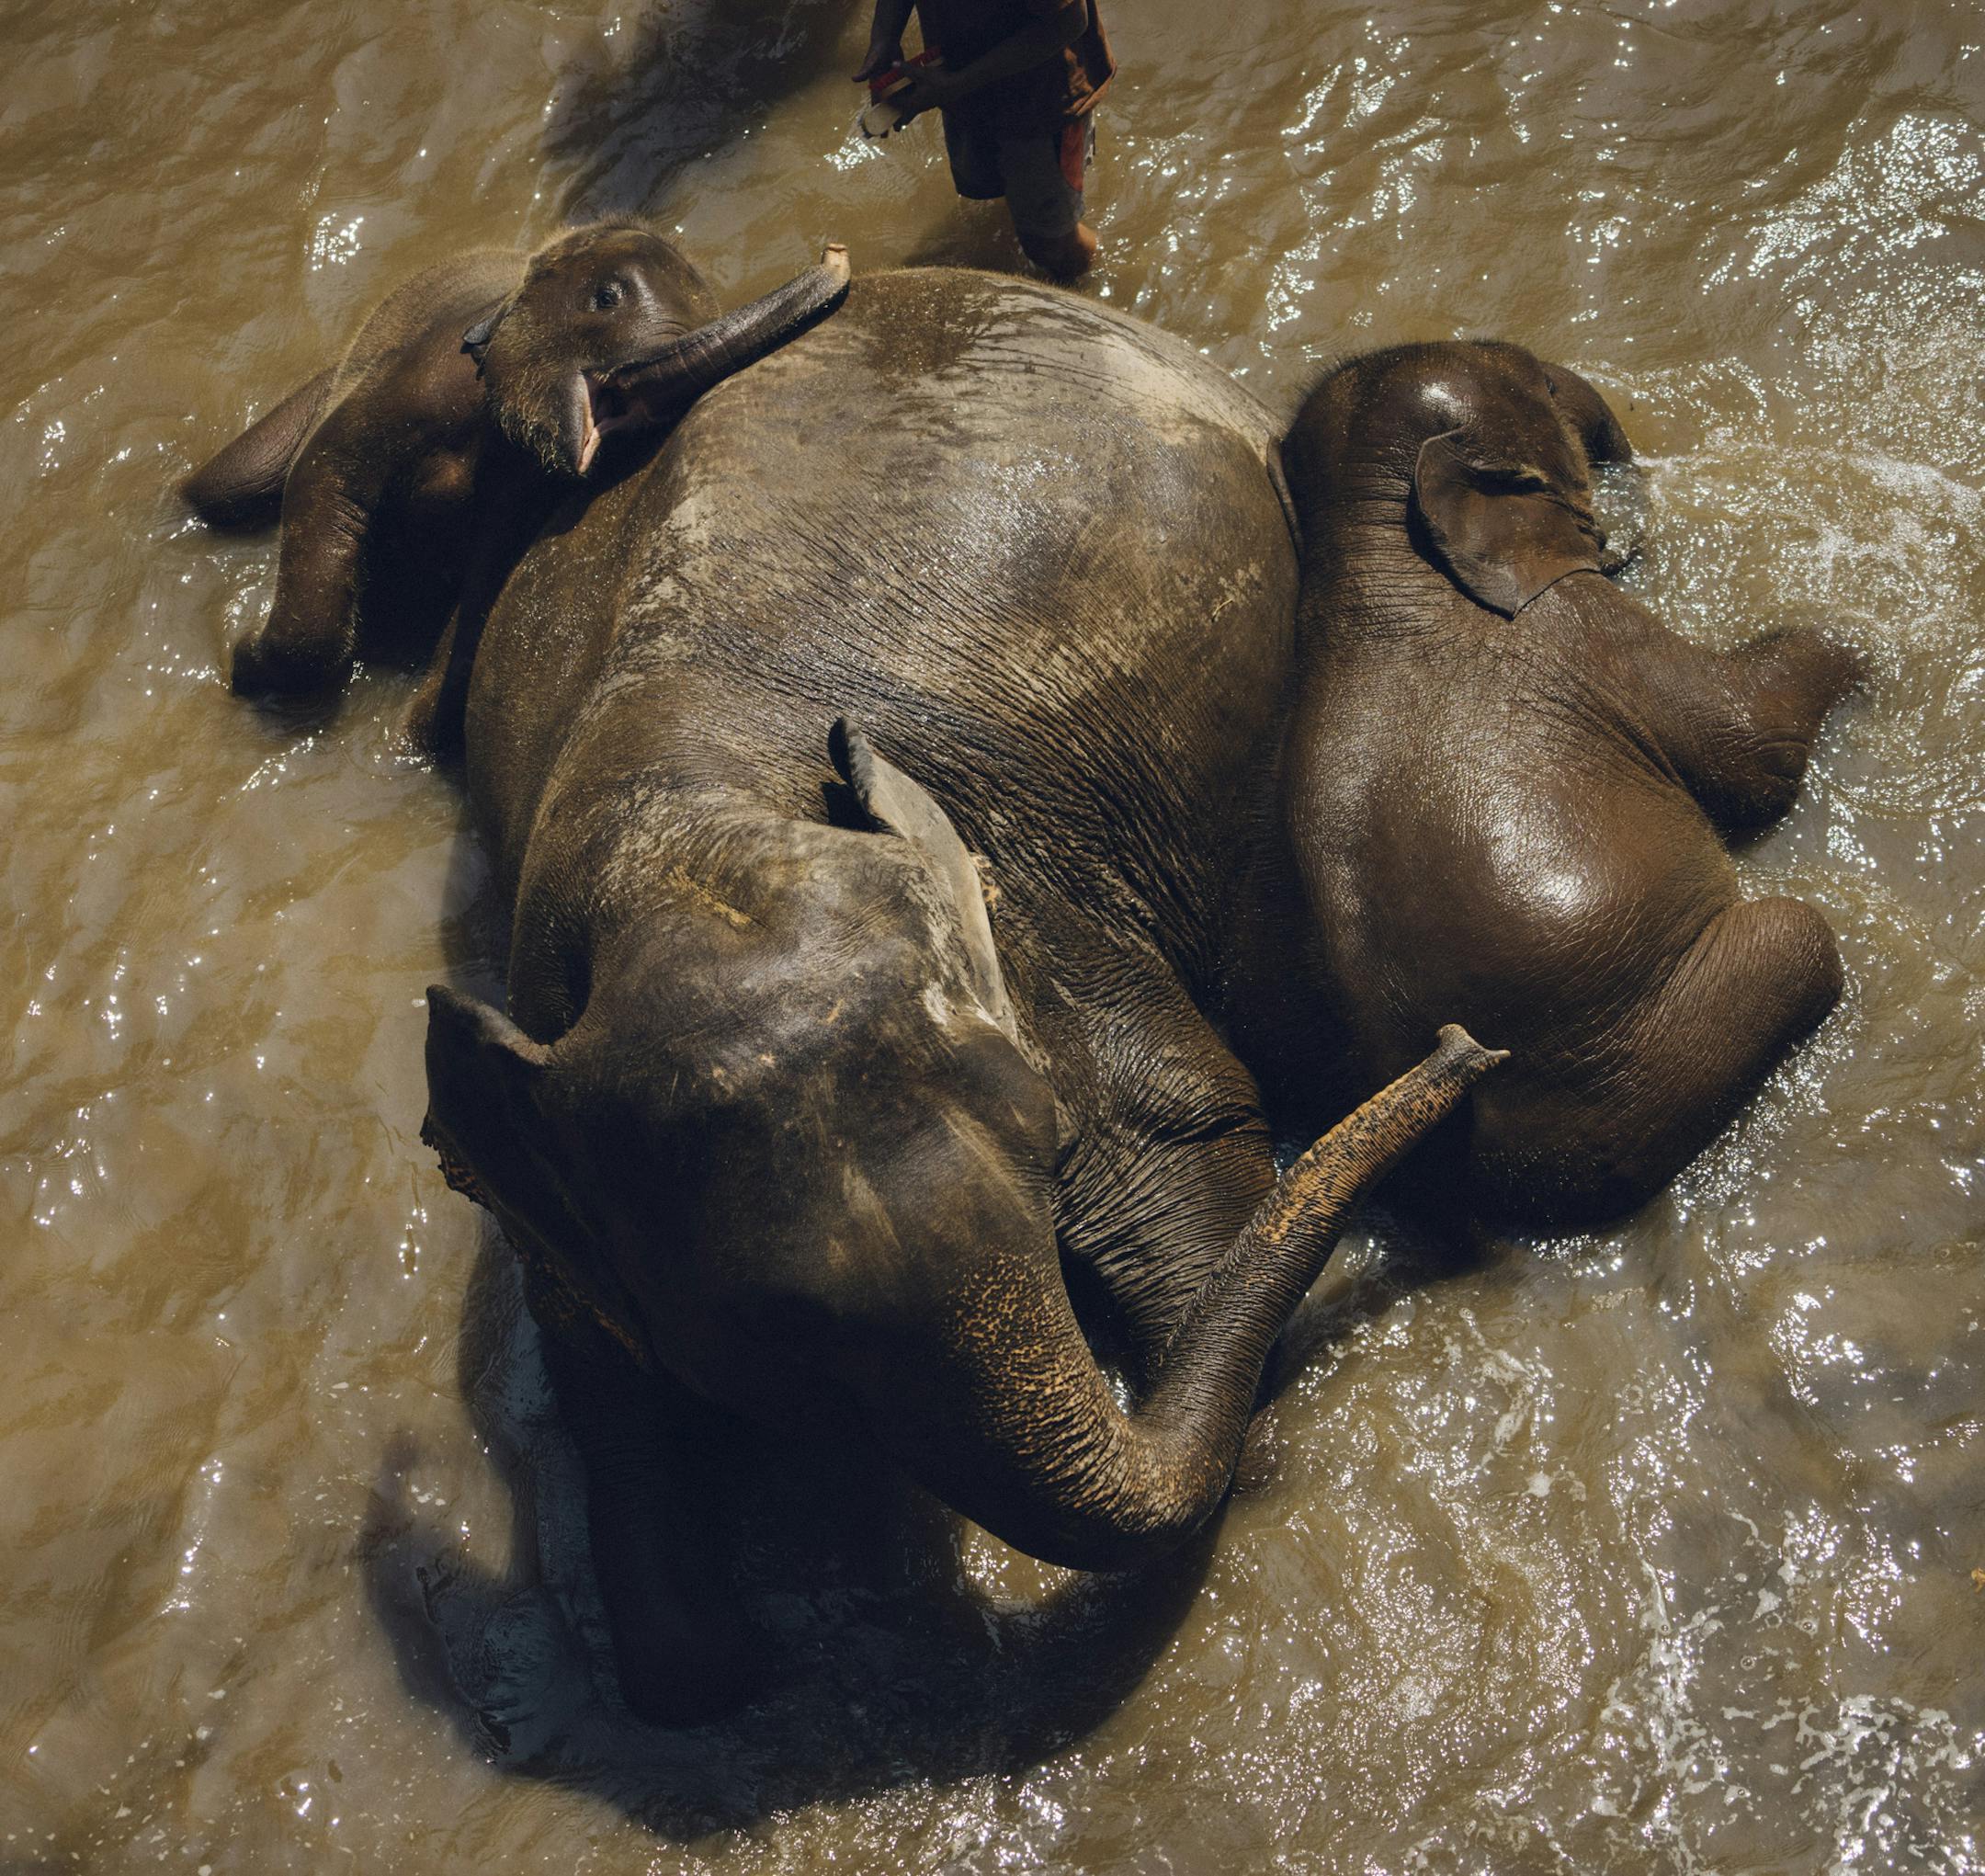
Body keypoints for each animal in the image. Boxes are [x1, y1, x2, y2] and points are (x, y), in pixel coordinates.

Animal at [182, 222, 850, 698]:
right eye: (606, 297)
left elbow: (485, 573)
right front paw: (241, 660)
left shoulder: (519, 488)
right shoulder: (403, 385)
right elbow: (323, 479)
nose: (835, 248)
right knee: (224, 489)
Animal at [413, 265, 1503, 1723]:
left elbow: (1190, 1144)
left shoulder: (1043, 914)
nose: (1465, 1047)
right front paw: (717, 1661)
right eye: (787, 1341)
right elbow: (605, 1384)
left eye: (1046, 1150)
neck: (696, 852)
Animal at [1273, 339, 1862, 1229]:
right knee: (1799, 936)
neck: (1374, 550)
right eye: (1545, 385)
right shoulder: (1579, 623)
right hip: (1638, 1072)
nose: (1622, 533)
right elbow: (1753, 750)